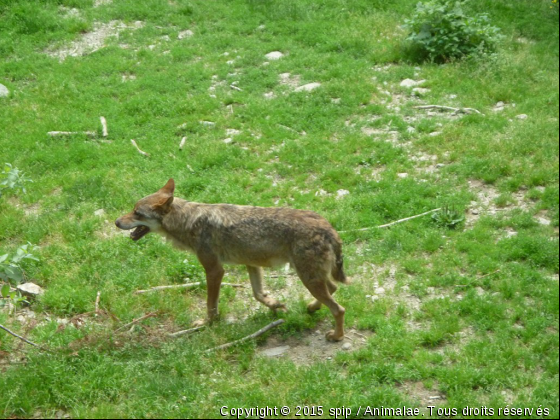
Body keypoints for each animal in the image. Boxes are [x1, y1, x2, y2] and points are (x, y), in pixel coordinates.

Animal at [116, 178, 348, 342]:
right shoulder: (251, 264)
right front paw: (276, 305)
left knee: (339, 308)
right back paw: (312, 308)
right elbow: (258, 295)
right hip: (312, 277)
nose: (117, 222)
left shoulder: (215, 270)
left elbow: (211, 305)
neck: (189, 221)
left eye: (137, 213)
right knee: (333, 288)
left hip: (307, 278)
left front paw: (207, 323)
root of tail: (329, 228)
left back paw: (336, 336)